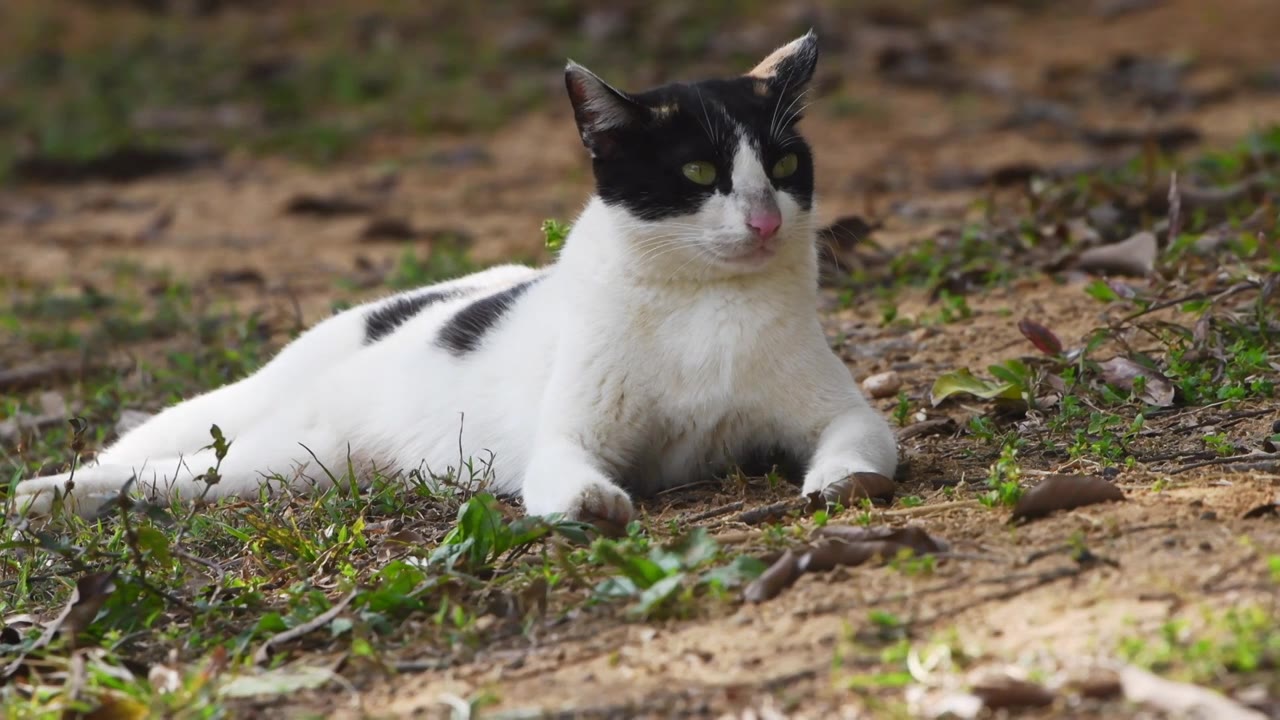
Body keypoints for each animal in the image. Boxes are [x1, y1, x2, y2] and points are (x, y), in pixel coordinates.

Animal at [17, 32, 901, 520]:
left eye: (783, 167)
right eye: (697, 172)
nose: (765, 221)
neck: (702, 309)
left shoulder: (847, 415)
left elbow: (859, 447)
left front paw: (839, 484)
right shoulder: (568, 437)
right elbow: (564, 477)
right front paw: (591, 506)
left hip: (289, 466)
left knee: (172, 479)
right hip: (257, 433)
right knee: (150, 457)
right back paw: (46, 494)